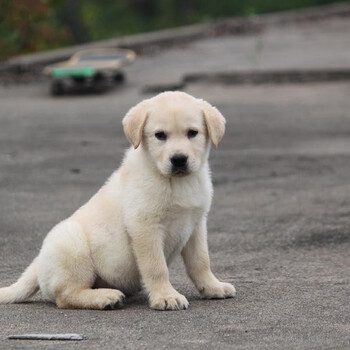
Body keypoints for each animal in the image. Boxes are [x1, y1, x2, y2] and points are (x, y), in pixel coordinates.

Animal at [0, 91, 237, 310]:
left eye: (192, 133)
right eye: (160, 135)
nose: (179, 159)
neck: (175, 182)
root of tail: (38, 263)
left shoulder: (196, 225)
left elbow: (201, 262)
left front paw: (213, 287)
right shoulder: (145, 226)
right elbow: (156, 267)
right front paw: (166, 296)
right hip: (71, 243)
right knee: (65, 296)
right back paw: (105, 297)